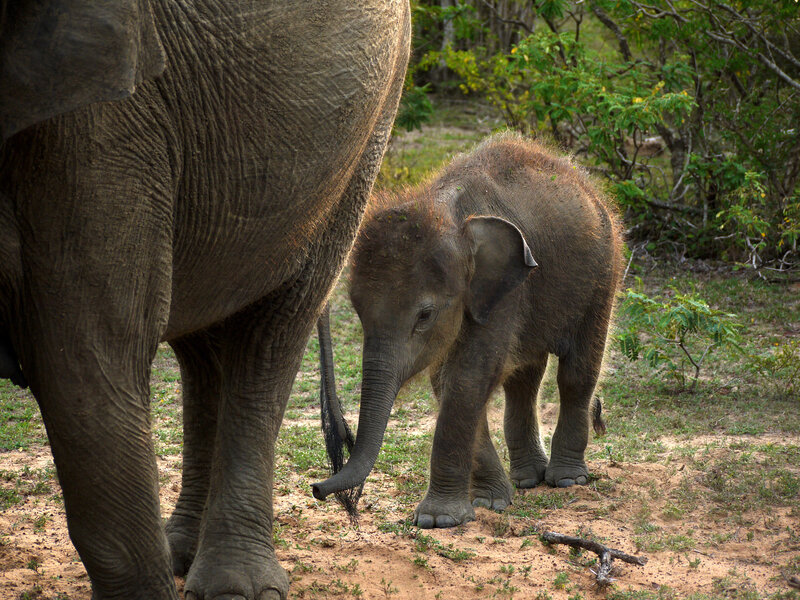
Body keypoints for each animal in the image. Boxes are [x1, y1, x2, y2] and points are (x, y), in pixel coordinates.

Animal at [0, 1, 410, 598]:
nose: (321, 489)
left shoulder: (97, 125)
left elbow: (84, 357)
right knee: (200, 349)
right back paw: (181, 556)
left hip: (368, 128)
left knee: (268, 337)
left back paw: (234, 586)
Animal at [313, 133, 624, 529]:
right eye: (357, 311)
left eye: (425, 315)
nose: (318, 489)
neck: (446, 210)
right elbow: (447, 380)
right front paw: (491, 502)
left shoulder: (506, 290)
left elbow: (468, 376)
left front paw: (438, 520)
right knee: (524, 378)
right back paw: (527, 480)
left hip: (604, 270)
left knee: (576, 371)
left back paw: (567, 479)